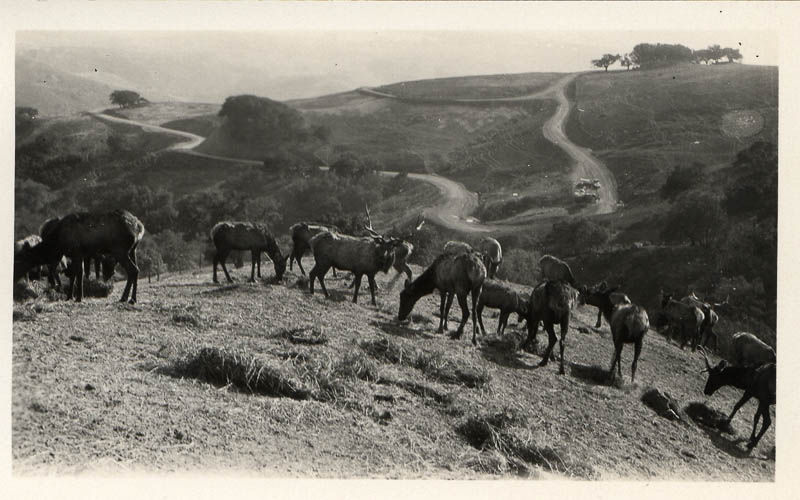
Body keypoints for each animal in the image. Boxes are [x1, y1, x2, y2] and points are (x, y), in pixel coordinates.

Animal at [14, 209, 145, 302]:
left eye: (19, 261)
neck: (57, 244)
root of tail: (139, 226)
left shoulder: (76, 252)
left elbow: (79, 273)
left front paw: (78, 297)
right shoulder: (77, 254)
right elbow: (76, 274)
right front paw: (72, 296)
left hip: (120, 250)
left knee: (133, 269)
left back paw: (124, 298)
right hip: (133, 249)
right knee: (137, 269)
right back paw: (133, 299)